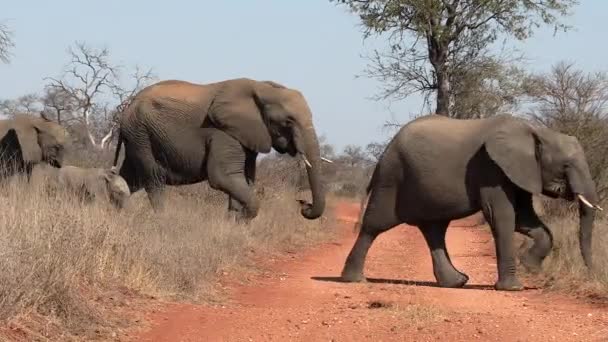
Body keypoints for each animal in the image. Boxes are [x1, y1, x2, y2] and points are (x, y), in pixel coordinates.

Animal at [110, 77, 328, 219]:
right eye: (288, 122)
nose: (303, 204)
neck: (261, 88)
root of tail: (128, 107)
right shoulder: (223, 132)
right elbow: (223, 177)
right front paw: (241, 219)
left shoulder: (246, 136)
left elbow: (246, 178)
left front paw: (234, 224)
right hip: (141, 134)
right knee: (154, 178)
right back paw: (162, 219)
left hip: (137, 136)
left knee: (131, 178)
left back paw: (115, 212)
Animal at [342, 114, 604, 292]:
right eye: (566, 166)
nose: (593, 276)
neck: (535, 132)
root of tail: (384, 153)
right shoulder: (491, 169)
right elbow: (503, 217)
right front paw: (513, 288)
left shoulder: (520, 173)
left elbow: (524, 218)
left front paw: (530, 266)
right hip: (392, 177)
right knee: (374, 225)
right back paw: (354, 280)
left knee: (434, 230)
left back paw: (456, 282)